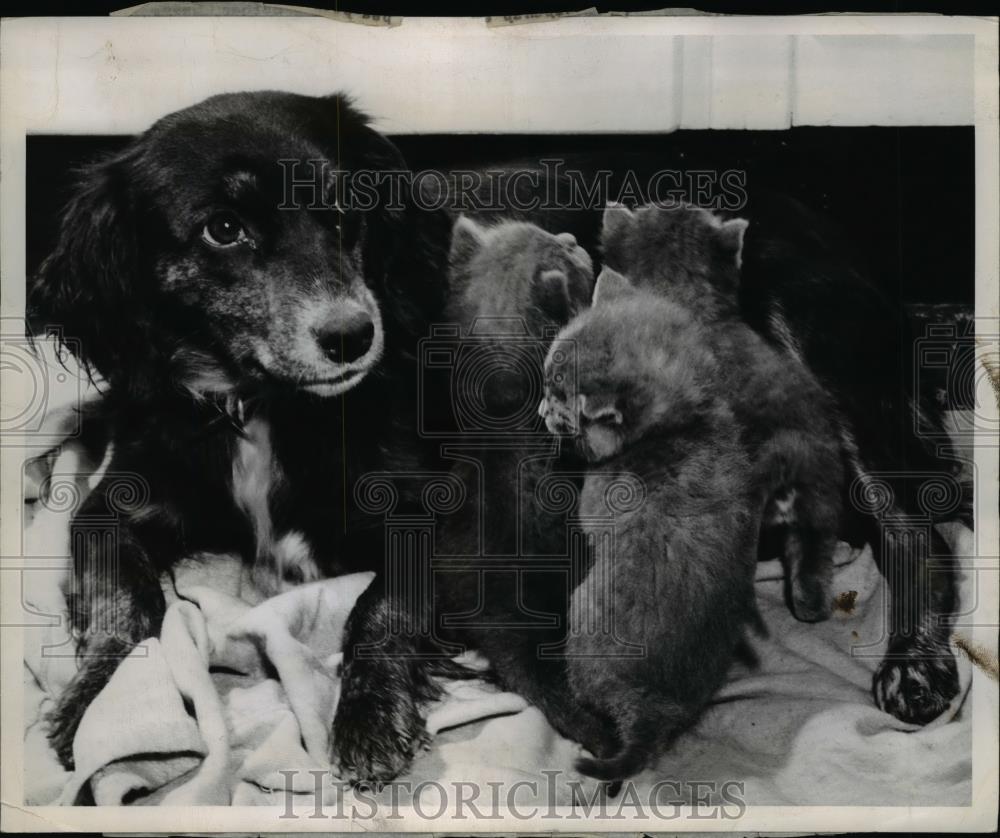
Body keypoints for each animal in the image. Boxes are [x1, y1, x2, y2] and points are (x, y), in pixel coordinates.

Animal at [540, 272, 756, 784]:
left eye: (560, 403)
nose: (540, 410)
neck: (689, 421)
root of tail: (652, 711)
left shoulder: (597, 497)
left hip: (583, 622)